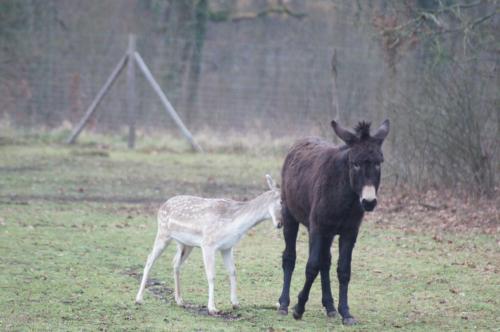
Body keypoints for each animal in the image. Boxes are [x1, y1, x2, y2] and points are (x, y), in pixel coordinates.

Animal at [134, 174, 282, 314]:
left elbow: (233, 271)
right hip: (163, 232)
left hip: (185, 244)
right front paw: (212, 308)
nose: (280, 224)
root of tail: (161, 207)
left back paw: (180, 300)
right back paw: (139, 299)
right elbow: (211, 275)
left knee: (175, 263)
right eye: (281, 201)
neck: (235, 224)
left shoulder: (227, 247)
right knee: (150, 259)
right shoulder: (208, 244)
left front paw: (235, 303)